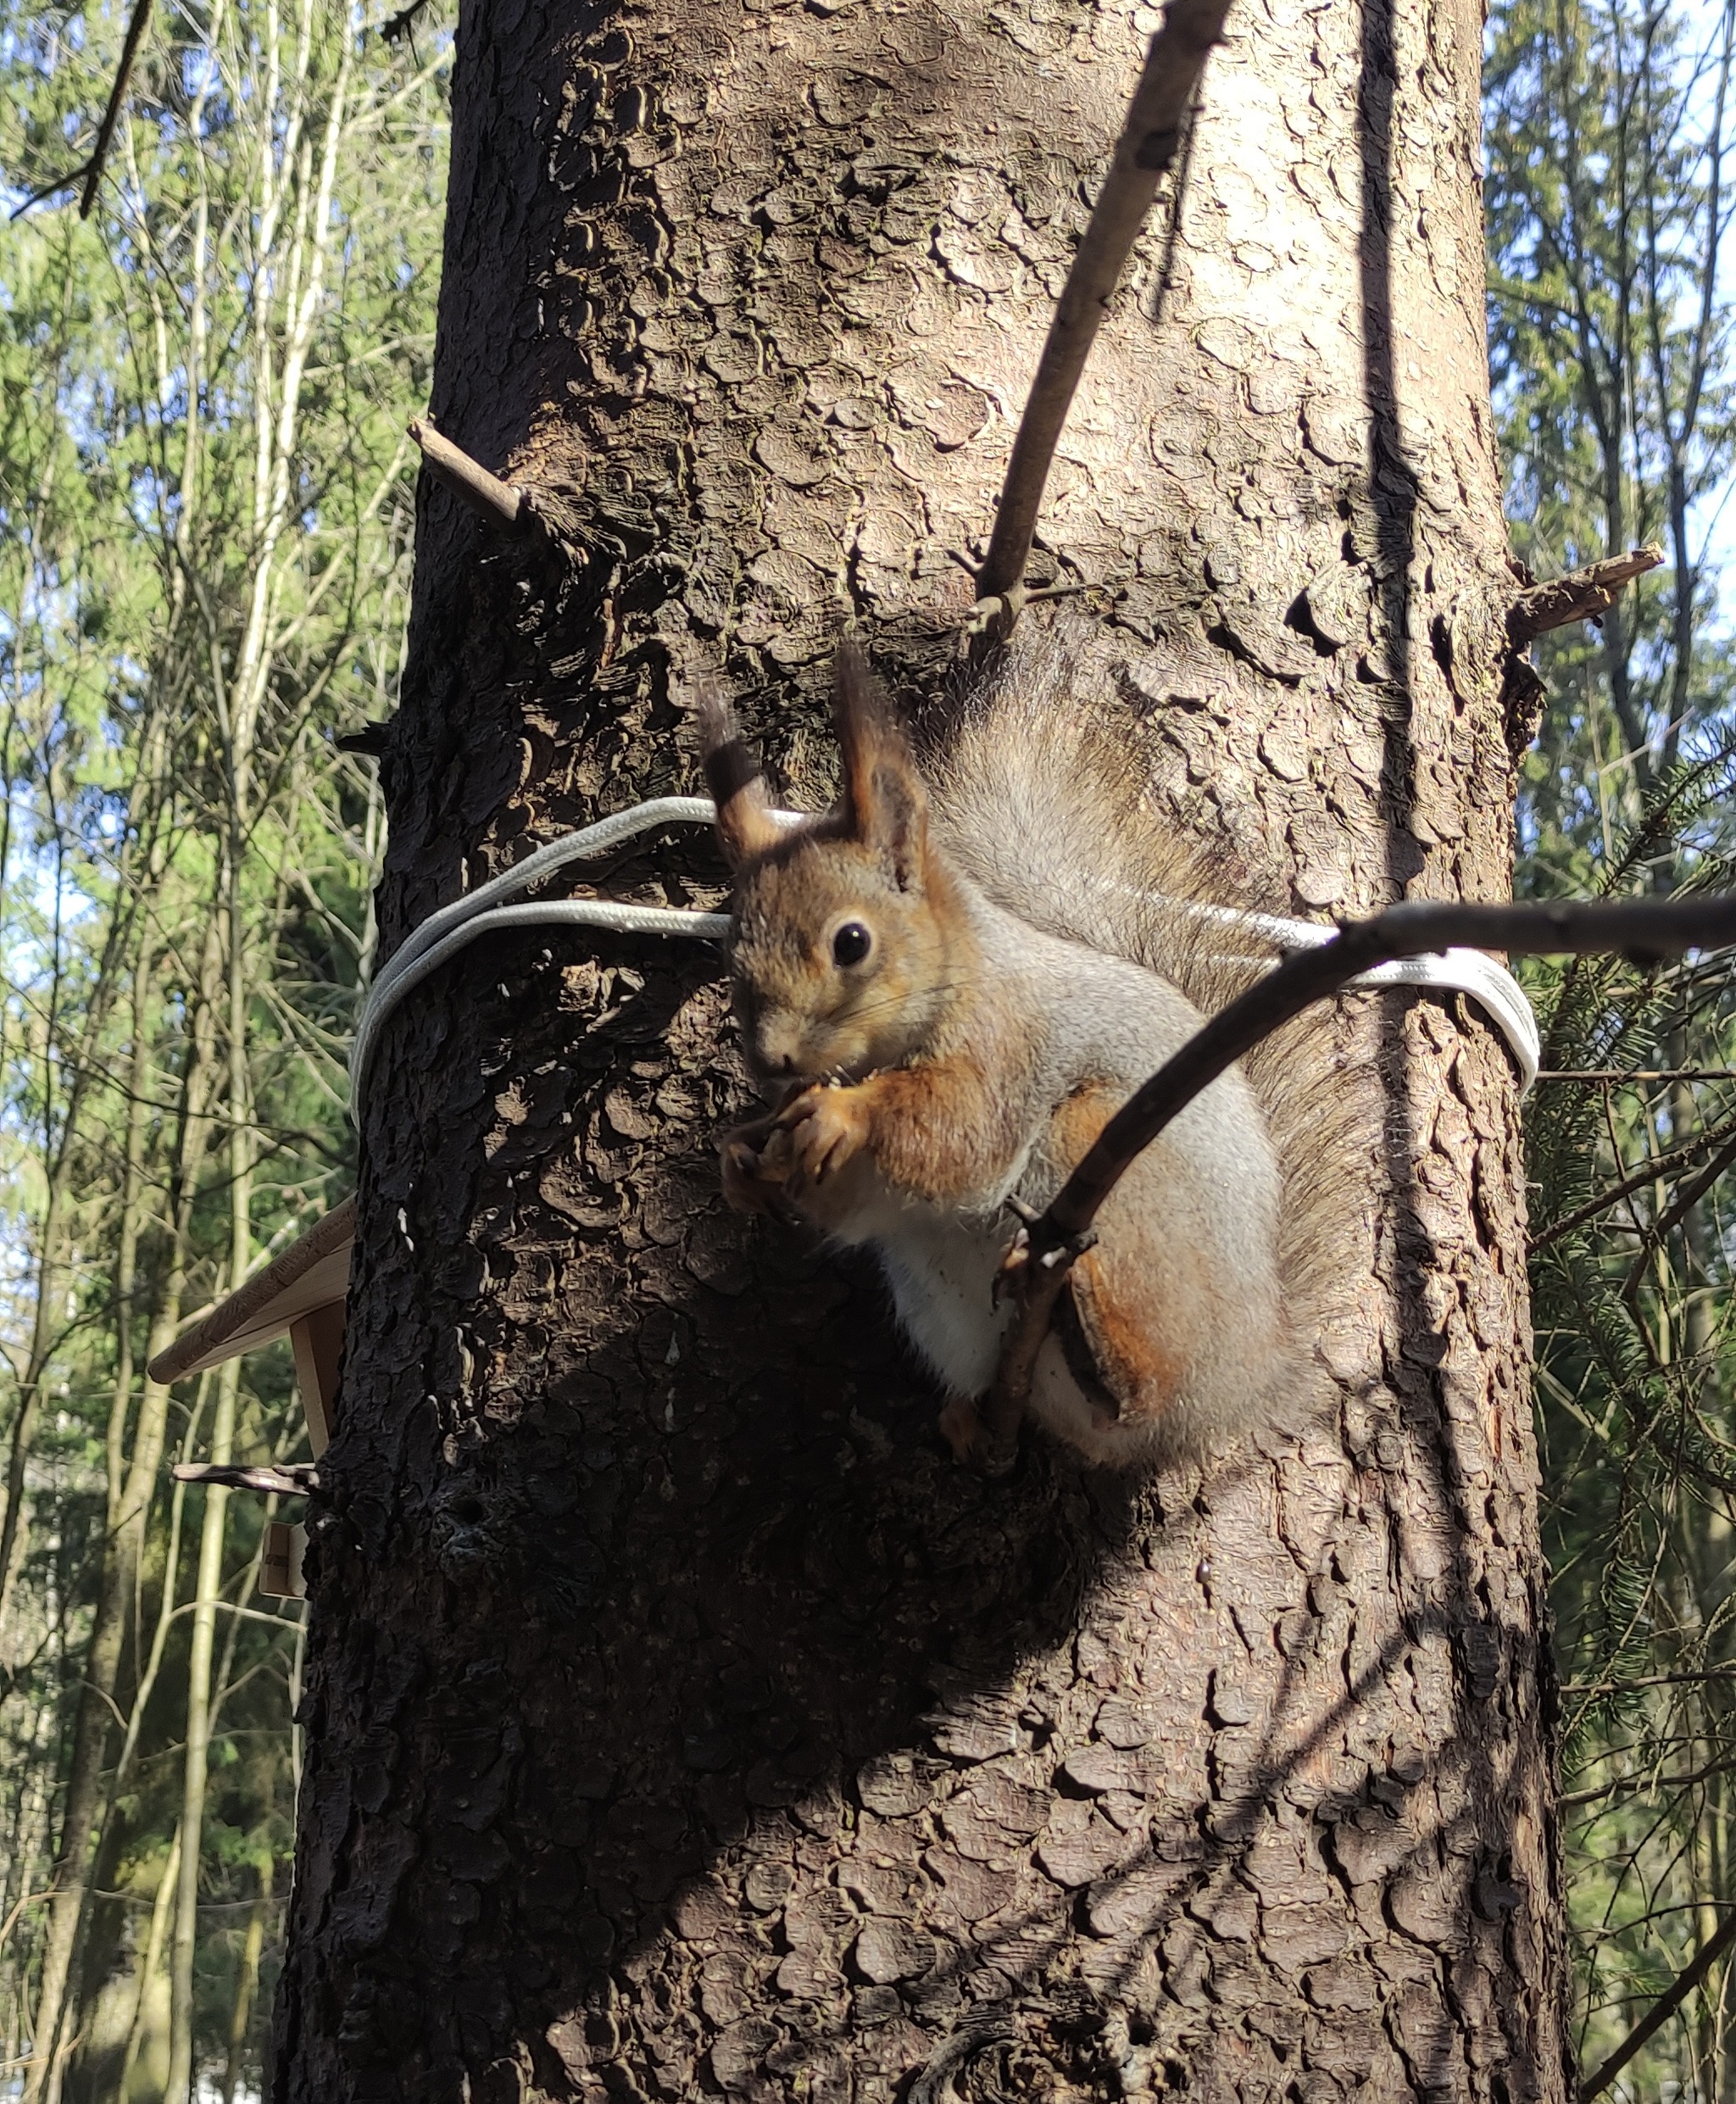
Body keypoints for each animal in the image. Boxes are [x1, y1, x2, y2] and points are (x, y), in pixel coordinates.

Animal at [698, 631, 1346, 1472]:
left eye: (852, 942)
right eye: (729, 953)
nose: (772, 1062)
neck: (961, 971)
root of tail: (1245, 1377)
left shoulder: (1008, 1042)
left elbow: (965, 1135)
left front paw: (844, 1114)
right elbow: (858, 1203)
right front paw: (740, 1157)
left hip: (1112, 1162)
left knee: (1149, 1387)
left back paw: (1101, 1344)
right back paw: (977, 1421)